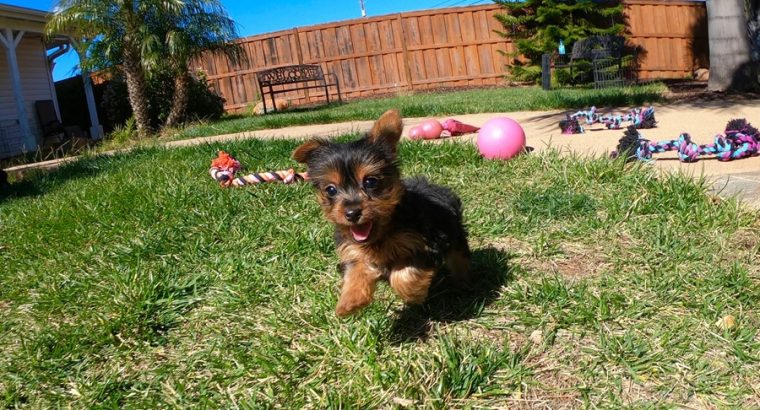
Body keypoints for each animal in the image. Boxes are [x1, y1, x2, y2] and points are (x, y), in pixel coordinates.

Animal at [294, 109, 472, 318]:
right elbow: (355, 270)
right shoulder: (353, 251)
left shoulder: (426, 245)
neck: (381, 234)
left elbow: (403, 274)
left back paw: (463, 283)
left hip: (454, 232)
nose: (352, 213)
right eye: (330, 190)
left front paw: (413, 294)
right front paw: (349, 301)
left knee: (459, 255)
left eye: (370, 181)